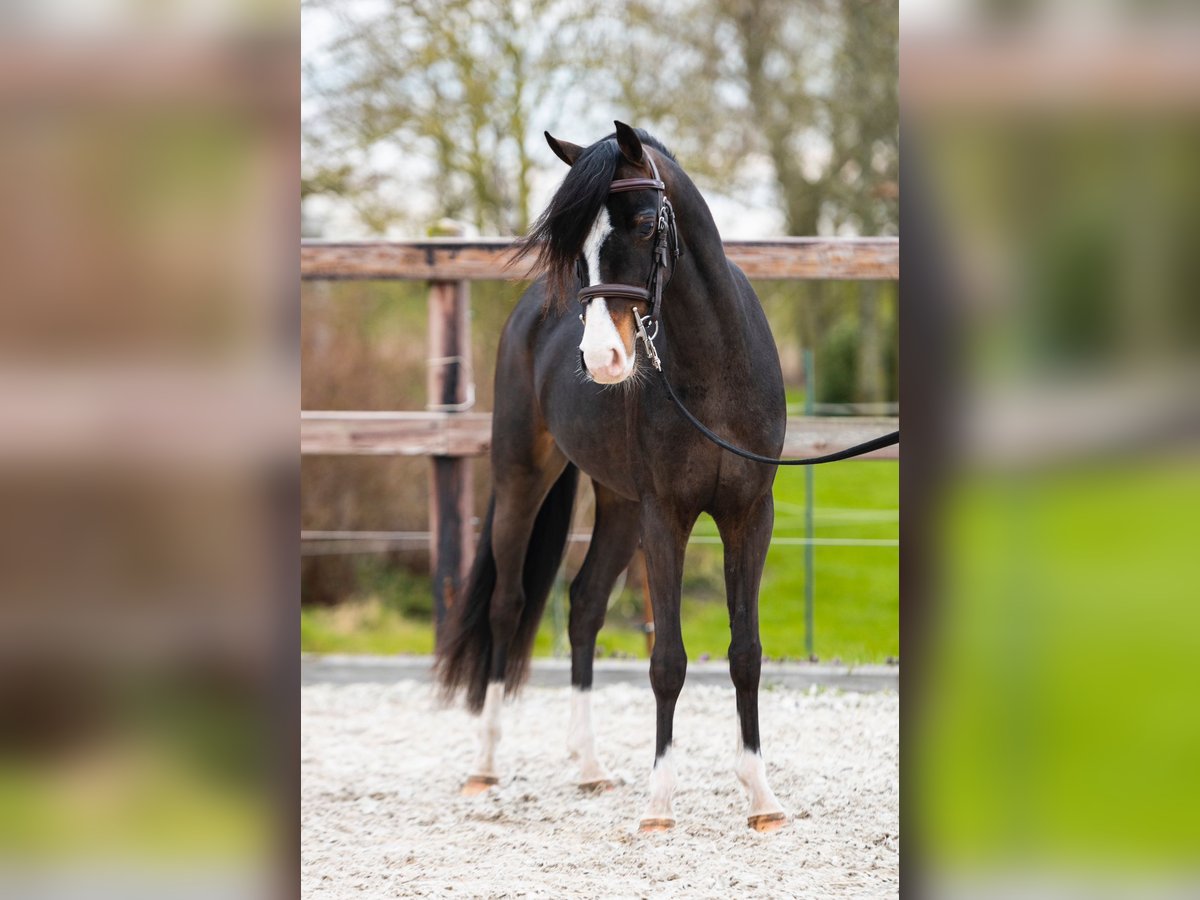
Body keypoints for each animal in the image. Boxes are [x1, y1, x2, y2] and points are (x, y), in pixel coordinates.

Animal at [436, 123, 792, 835]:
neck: (716, 371)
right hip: (524, 479)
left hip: (620, 505)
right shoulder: (667, 516)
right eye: (576, 246)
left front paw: (762, 800)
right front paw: (659, 805)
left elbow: (745, 652)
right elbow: (668, 661)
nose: (602, 358)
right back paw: (485, 765)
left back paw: (591, 766)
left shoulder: (748, 514)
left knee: (584, 605)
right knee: (507, 605)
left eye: (649, 223)